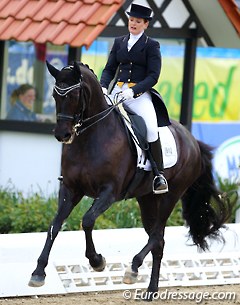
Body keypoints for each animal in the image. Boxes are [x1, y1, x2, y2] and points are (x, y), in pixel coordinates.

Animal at [29, 61, 232, 296]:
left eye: (75, 94)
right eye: (55, 95)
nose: (62, 135)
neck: (91, 137)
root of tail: (192, 140)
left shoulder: (109, 192)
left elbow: (87, 221)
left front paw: (97, 261)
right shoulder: (71, 189)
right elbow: (55, 225)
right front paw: (38, 272)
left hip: (170, 196)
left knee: (156, 235)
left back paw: (133, 268)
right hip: (147, 199)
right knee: (158, 241)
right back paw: (151, 290)